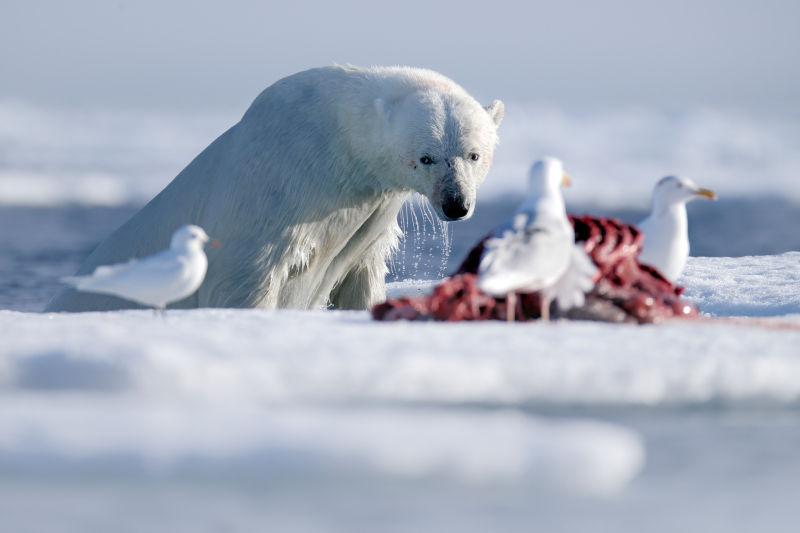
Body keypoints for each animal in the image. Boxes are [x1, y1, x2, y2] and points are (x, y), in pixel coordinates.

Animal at [47, 65, 504, 312]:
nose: (456, 204)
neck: (334, 141)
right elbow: (241, 278)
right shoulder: (276, 188)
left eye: (474, 155)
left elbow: (362, 277)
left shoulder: (368, 216)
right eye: (425, 157)